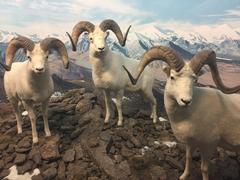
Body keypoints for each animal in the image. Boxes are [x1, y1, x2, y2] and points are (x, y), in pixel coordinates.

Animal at [124, 46, 240, 180]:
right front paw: (183, 176)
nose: (186, 101)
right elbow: (188, 158)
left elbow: (204, 169)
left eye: (195, 80)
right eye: (172, 77)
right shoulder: (191, 143)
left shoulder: (209, 146)